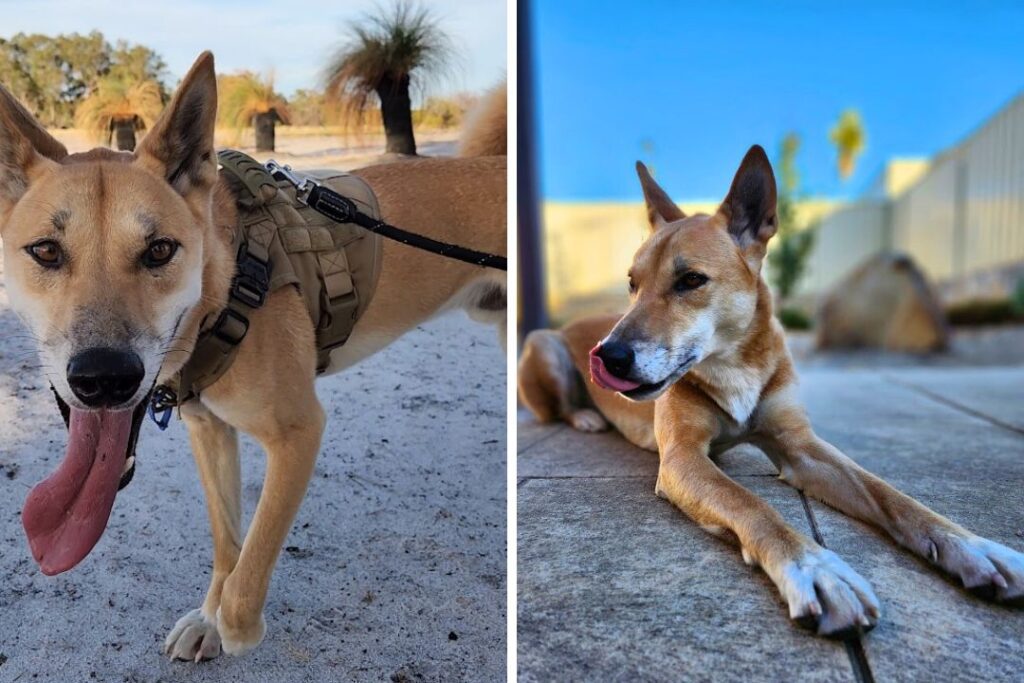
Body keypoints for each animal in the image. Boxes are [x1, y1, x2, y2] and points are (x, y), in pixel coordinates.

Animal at [0, 50, 503, 659]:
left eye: (159, 250)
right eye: (46, 252)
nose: (104, 378)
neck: (228, 285)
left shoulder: (299, 432)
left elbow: (254, 556)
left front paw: (236, 628)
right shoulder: (210, 430)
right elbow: (228, 542)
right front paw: (209, 622)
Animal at [520, 147, 1024, 638]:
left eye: (691, 280)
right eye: (632, 284)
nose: (607, 356)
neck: (733, 366)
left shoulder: (801, 445)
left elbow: (891, 496)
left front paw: (973, 547)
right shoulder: (682, 458)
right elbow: (752, 504)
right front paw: (816, 569)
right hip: (543, 345)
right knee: (554, 408)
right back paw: (587, 416)